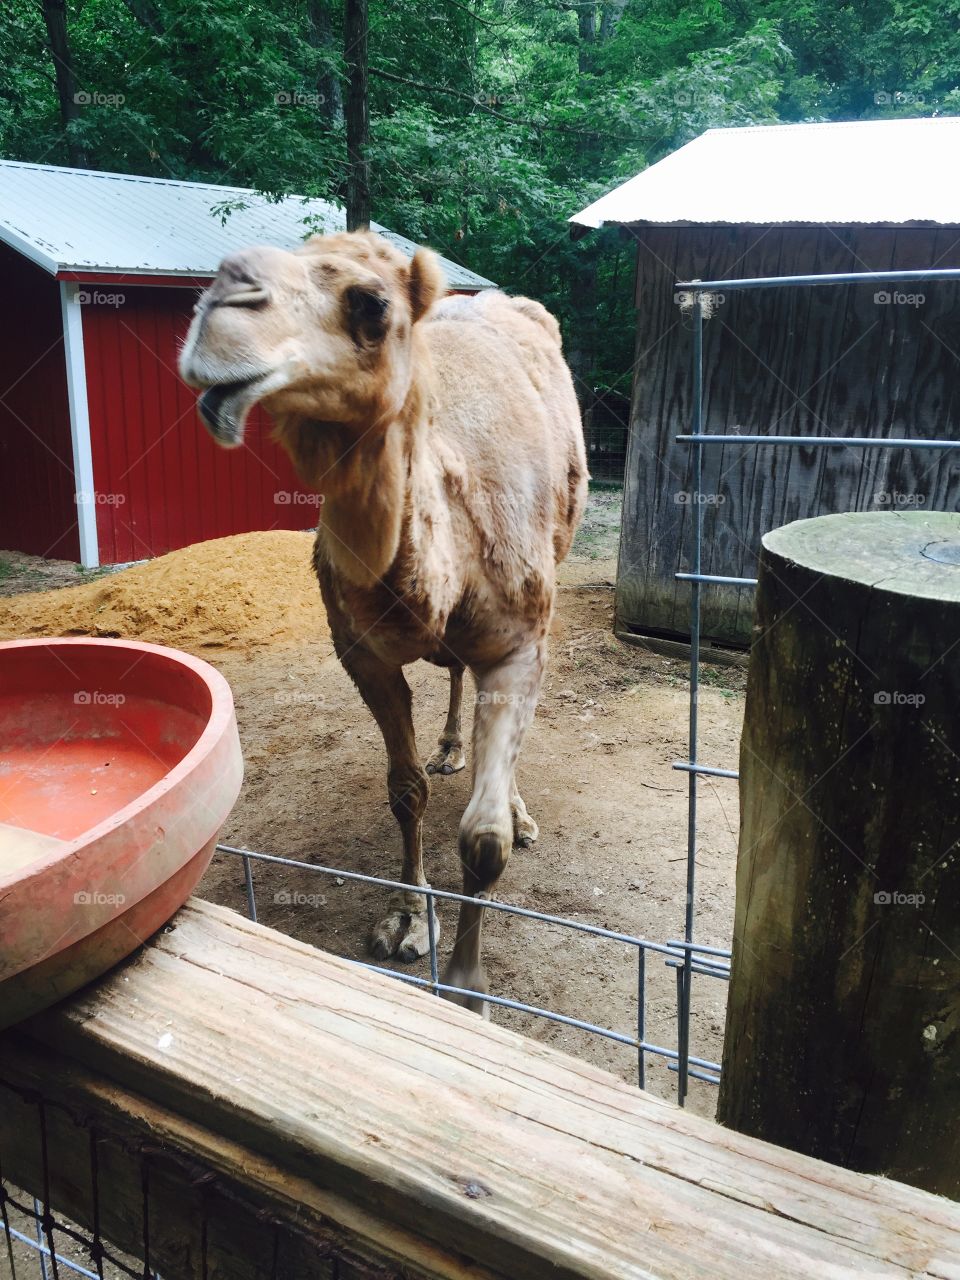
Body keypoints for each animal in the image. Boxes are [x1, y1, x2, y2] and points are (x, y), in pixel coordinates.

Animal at [179, 231, 587, 1010]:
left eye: (370, 304)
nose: (219, 311)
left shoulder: (519, 641)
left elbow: (482, 837)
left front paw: (466, 986)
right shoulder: (362, 654)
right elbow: (406, 793)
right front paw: (404, 920)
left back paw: (521, 812)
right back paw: (452, 747)